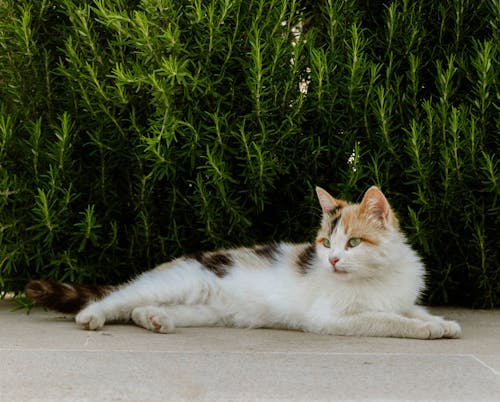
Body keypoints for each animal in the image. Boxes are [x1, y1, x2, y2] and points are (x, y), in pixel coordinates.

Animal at [26, 186, 460, 340]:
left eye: (353, 242)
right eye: (325, 243)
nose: (334, 259)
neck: (377, 275)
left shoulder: (400, 295)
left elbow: (410, 309)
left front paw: (441, 322)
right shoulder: (330, 318)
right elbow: (387, 319)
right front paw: (426, 330)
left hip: (205, 310)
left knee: (140, 308)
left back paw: (155, 320)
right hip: (179, 282)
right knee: (117, 299)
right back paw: (93, 317)